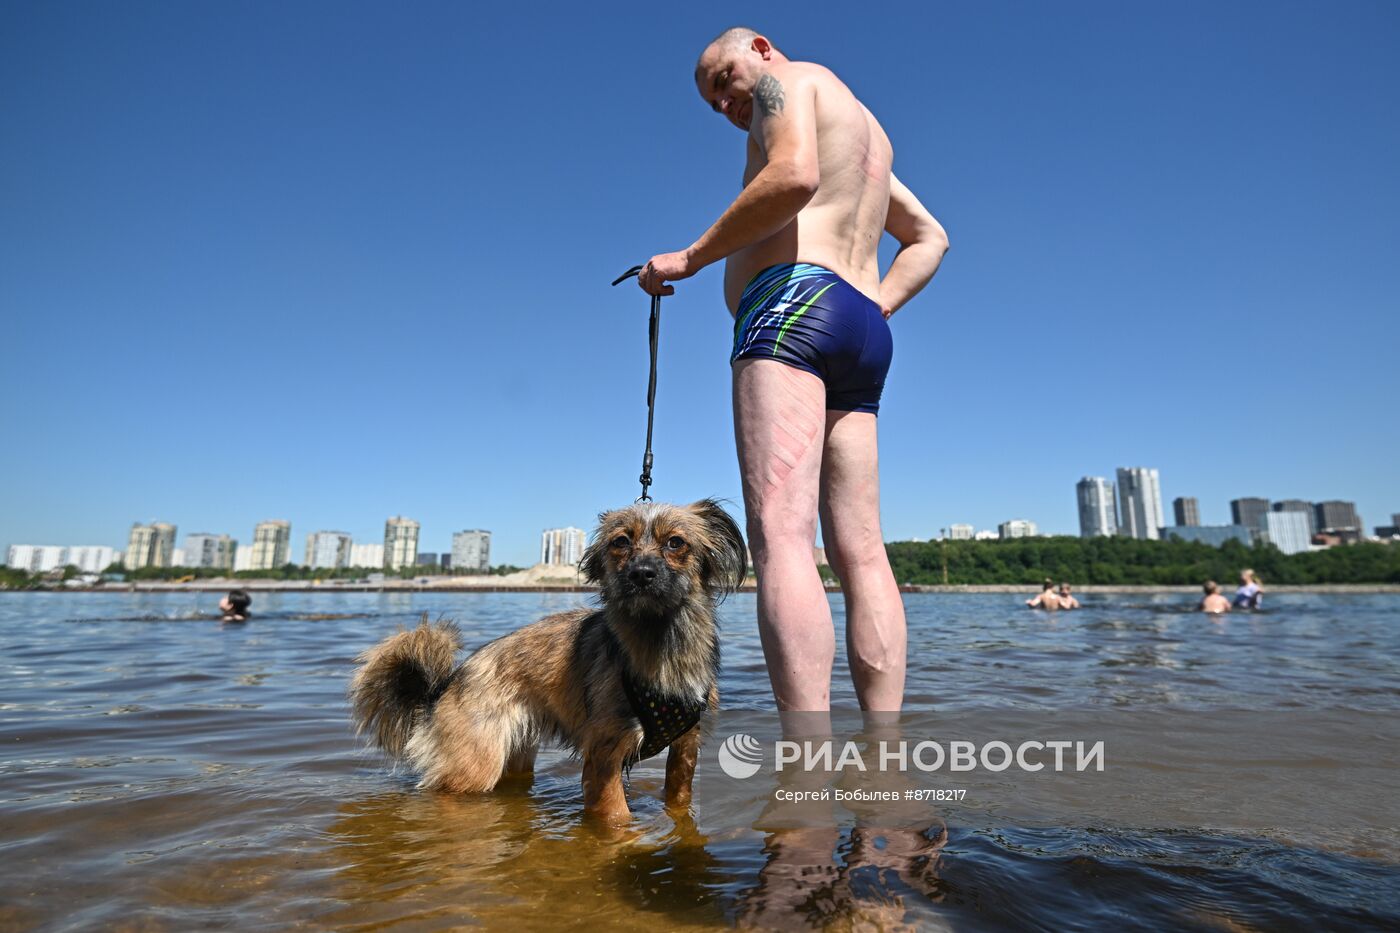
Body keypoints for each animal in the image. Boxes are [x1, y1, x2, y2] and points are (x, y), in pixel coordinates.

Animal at [350, 498, 744, 818]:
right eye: (620, 542)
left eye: (676, 542)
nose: (641, 573)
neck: (661, 641)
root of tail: (442, 688)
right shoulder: (604, 756)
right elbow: (617, 820)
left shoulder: (685, 751)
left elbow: (678, 803)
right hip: (474, 766)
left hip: (517, 755)